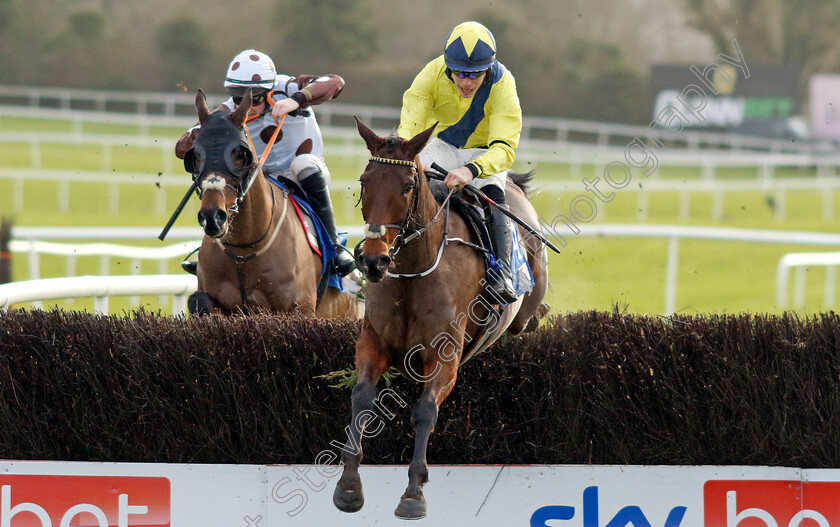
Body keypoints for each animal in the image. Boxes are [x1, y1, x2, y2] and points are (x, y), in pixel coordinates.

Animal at [185, 89, 360, 320]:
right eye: (195, 155)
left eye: (240, 154)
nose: (213, 217)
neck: (244, 250)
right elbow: (199, 300)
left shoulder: (299, 309)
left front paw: (287, 104)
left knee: (305, 165)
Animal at [332, 119, 556, 520]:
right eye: (364, 180)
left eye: (408, 186)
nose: (373, 260)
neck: (414, 270)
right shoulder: (373, 342)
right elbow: (362, 398)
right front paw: (349, 485)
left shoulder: (445, 355)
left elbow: (424, 411)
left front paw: (413, 493)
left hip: (529, 292)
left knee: (530, 317)